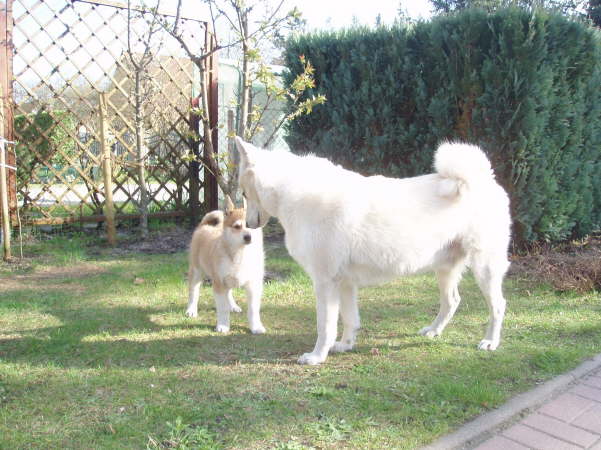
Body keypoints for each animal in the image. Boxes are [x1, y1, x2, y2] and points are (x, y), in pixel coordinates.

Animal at [185, 197, 264, 334]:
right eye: (237, 226)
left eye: (251, 226)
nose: (248, 237)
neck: (241, 254)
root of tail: (204, 226)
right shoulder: (219, 284)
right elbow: (222, 308)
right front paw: (223, 326)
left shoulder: (253, 285)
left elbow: (253, 309)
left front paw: (256, 327)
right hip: (196, 271)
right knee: (193, 291)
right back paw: (191, 310)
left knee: (229, 293)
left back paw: (233, 306)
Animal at [237, 137, 508, 366]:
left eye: (243, 193)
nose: (248, 225)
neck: (292, 191)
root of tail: (483, 180)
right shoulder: (344, 283)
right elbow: (349, 319)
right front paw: (345, 345)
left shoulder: (325, 282)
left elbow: (325, 326)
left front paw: (316, 357)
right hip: (445, 269)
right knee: (452, 301)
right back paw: (433, 331)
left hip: (484, 268)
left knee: (498, 305)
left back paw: (490, 342)